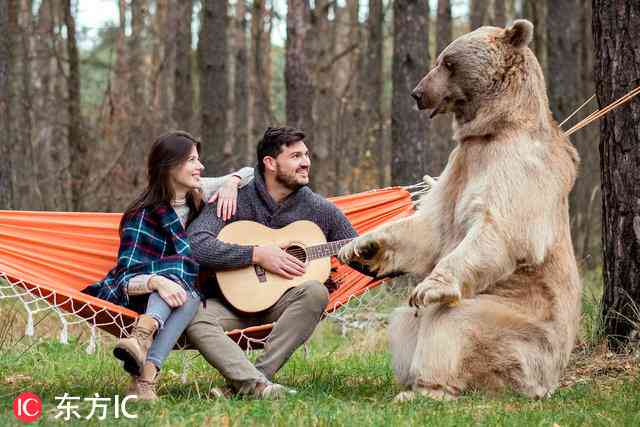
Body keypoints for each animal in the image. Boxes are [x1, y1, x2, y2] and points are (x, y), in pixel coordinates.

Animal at [338, 20, 584, 402]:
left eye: (448, 62)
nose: (417, 93)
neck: (493, 127)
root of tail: (550, 380)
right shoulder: (460, 163)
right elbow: (430, 227)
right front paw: (360, 245)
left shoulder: (519, 163)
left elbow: (501, 228)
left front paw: (427, 287)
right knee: (403, 323)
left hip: (523, 327)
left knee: (454, 324)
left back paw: (427, 389)